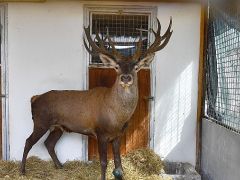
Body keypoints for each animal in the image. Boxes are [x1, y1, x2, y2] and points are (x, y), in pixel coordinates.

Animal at [19, 17, 172, 180]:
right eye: (117, 67)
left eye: (136, 67)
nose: (125, 78)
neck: (118, 117)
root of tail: (34, 98)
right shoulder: (101, 132)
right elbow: (104, 162)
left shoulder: (118, 135)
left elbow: (118, 161)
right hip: (40, 122)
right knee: (28, 141)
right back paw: (22, 171)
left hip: (58, 127)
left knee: (49, 143)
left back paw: (60, 166)